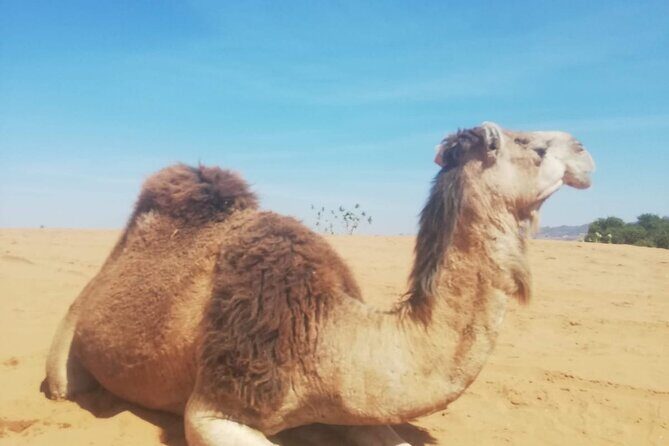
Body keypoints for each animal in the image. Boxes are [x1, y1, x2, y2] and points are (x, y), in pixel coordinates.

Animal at [45, 122, 594, 445]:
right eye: (534, 146)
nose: (586, 151)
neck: (327, 333)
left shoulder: (355, 406)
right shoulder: (214, 407)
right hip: (67, 341)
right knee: (63, 386)